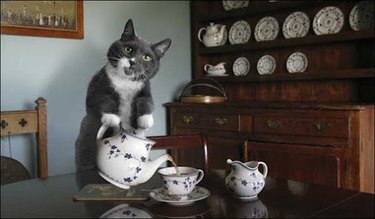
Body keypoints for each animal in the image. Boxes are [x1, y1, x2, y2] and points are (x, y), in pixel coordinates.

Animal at [75, 19, 173, 172]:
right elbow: (104, 98)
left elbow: (147, 102)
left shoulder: (145, 88)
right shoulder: (98, 85)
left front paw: (146, 120)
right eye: (128, 49)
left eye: (146, 57)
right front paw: (112, 118)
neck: (126, 82)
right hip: (87, 135)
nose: (132, 61)